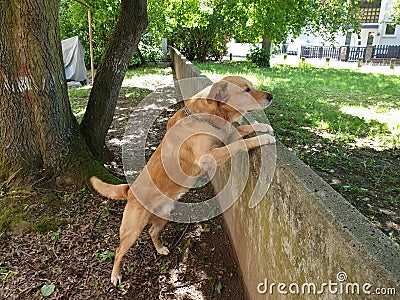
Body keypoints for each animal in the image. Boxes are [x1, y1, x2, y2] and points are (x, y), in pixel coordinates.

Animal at [90, 75, 276, 286]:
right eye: (246, 90)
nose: (271, 96)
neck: (207, 115)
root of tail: (129, 190)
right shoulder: (209, 157)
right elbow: (240, 144)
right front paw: (262, 139)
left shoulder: (223, 139)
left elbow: (242, 129)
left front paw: (262, 127)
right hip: (132, 229)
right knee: (119, 250)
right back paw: (115, 275)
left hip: (163, 215)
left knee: (152, 232)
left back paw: (160, 249)